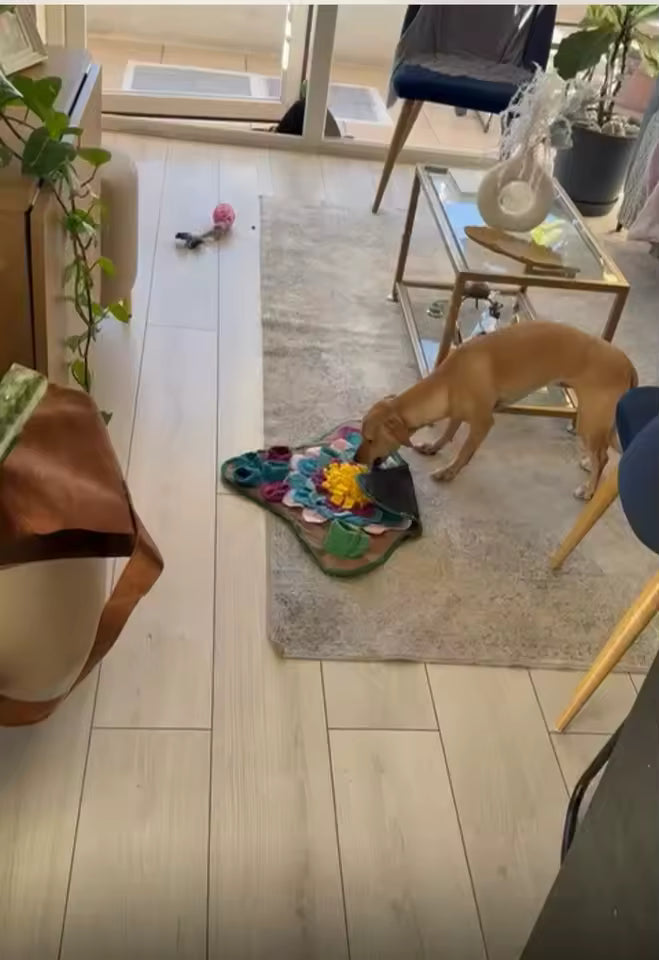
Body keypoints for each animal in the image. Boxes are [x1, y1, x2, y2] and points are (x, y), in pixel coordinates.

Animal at [355, 322, 638, 500]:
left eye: (370, 439)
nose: (356, 460)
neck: (448, 380)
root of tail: (627, 362)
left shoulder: (482, 422)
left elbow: (463, 453)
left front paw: (448, 472)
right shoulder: (459, 410)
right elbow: (448, 431)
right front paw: (434, 446)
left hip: (588, 420)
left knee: (602, 457)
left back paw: (589, 490)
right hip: (601, 424)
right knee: (606, 453)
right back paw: (590, 466)